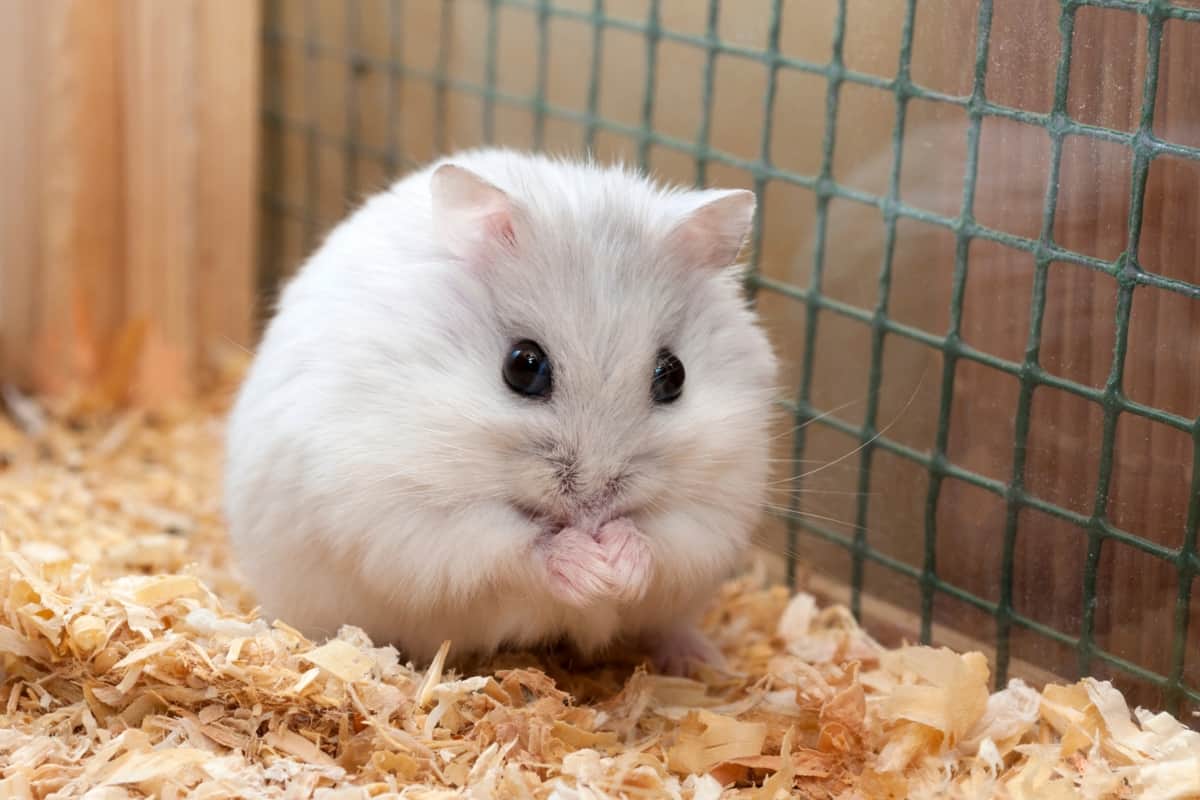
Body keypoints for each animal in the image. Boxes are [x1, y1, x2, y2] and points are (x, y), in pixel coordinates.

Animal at [223, 148, 778, 673]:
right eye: (523, 366)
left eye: (674, 375)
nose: (594, 509)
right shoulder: (408, 513)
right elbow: (513, 548)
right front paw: (590, 568)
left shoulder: (718, 505)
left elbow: (664, 539)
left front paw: (617, 566)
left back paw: (701, 662)